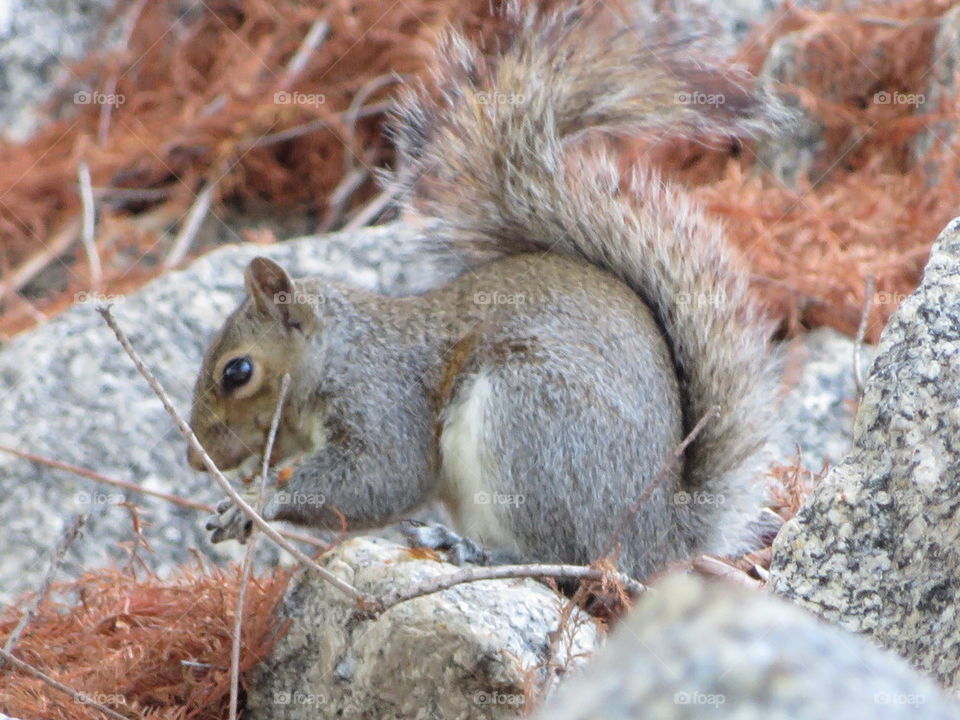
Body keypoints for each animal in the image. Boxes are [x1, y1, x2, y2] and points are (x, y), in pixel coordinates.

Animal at [189, 2, 788, 584]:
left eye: (237, 372)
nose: (198, 462)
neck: (340, 352)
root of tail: (664, 542)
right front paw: (237, 506)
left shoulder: (384, 398)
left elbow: (385, 474)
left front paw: (261, 502)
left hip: (533, 422)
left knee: (567, 558)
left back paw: (472, 549)